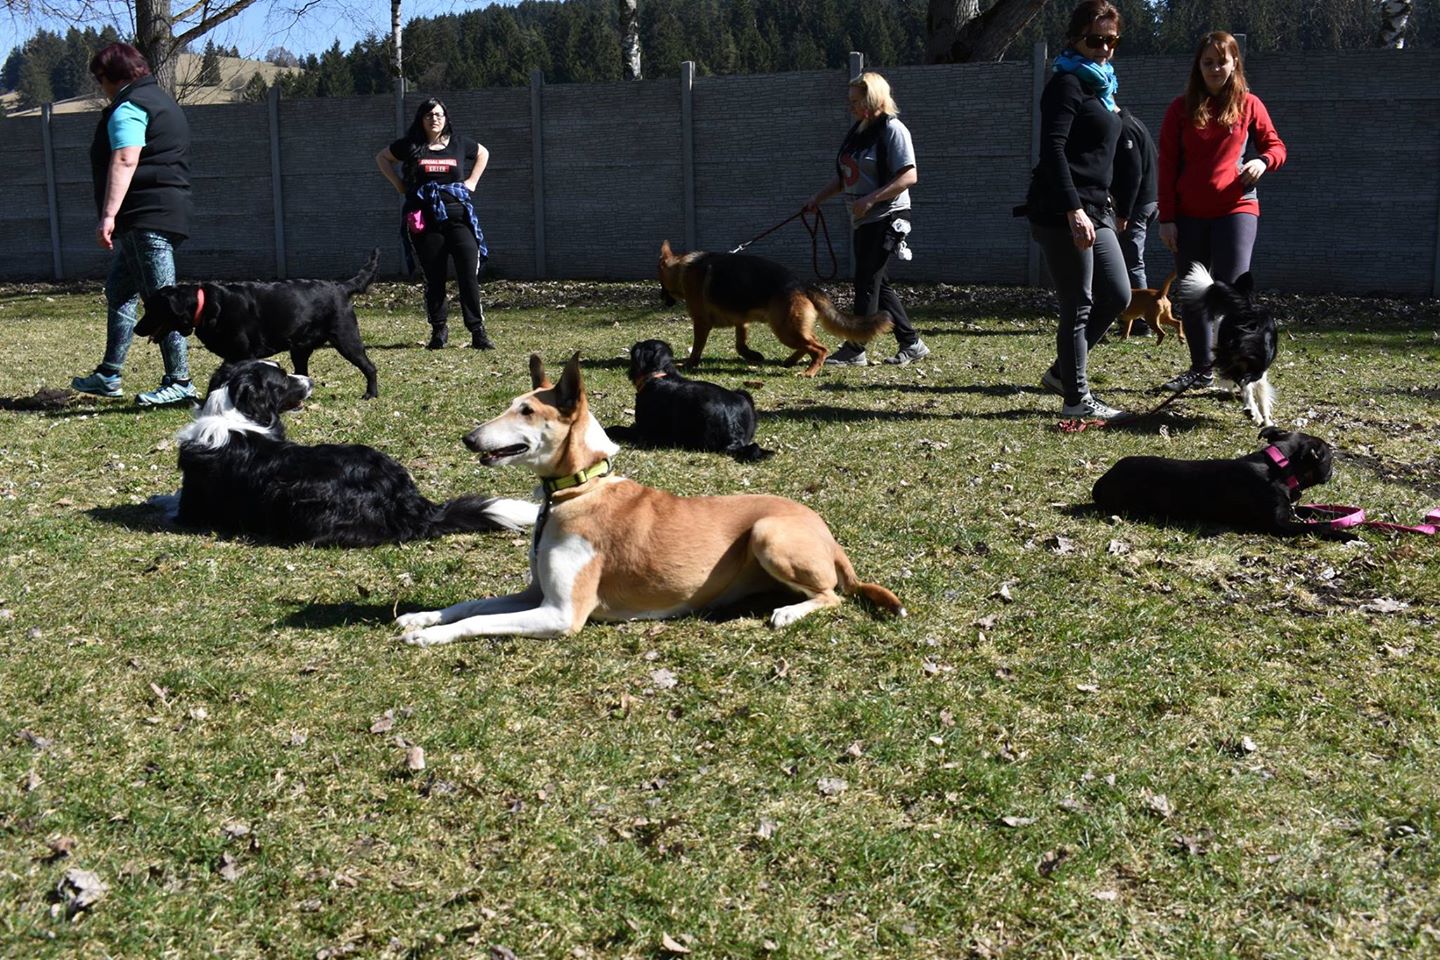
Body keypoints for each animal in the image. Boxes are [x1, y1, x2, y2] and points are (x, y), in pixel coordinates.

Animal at [134, 250, 380, 400]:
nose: (136, 329)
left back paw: (371, 394)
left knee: (370, 367)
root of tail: (342, 287)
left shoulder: (243, 354)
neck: (207, 306)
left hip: (347, 340)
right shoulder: (231, 356)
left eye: (150, 309)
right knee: (302, 374)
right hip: (300, 349)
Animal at [394, 352, 904, 644]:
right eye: (512, 404)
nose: (468, 438)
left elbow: (476, 621)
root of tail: (828, 534)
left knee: (832, 596)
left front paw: (432, 638)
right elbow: (471, 605)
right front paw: (420, 618)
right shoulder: (533, 594)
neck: (578, 490)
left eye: (526, 410)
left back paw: (787, 612)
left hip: (767, 533)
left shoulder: (561, 614)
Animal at [1094, 428, 1342, 538]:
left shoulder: (1289, 509)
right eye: (1329, 457)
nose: (1333, 470)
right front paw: (1345, 534)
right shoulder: (1277, 524)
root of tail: (1104, 478)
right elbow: (1318, 526)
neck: (1279, 468)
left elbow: (1318, 512)